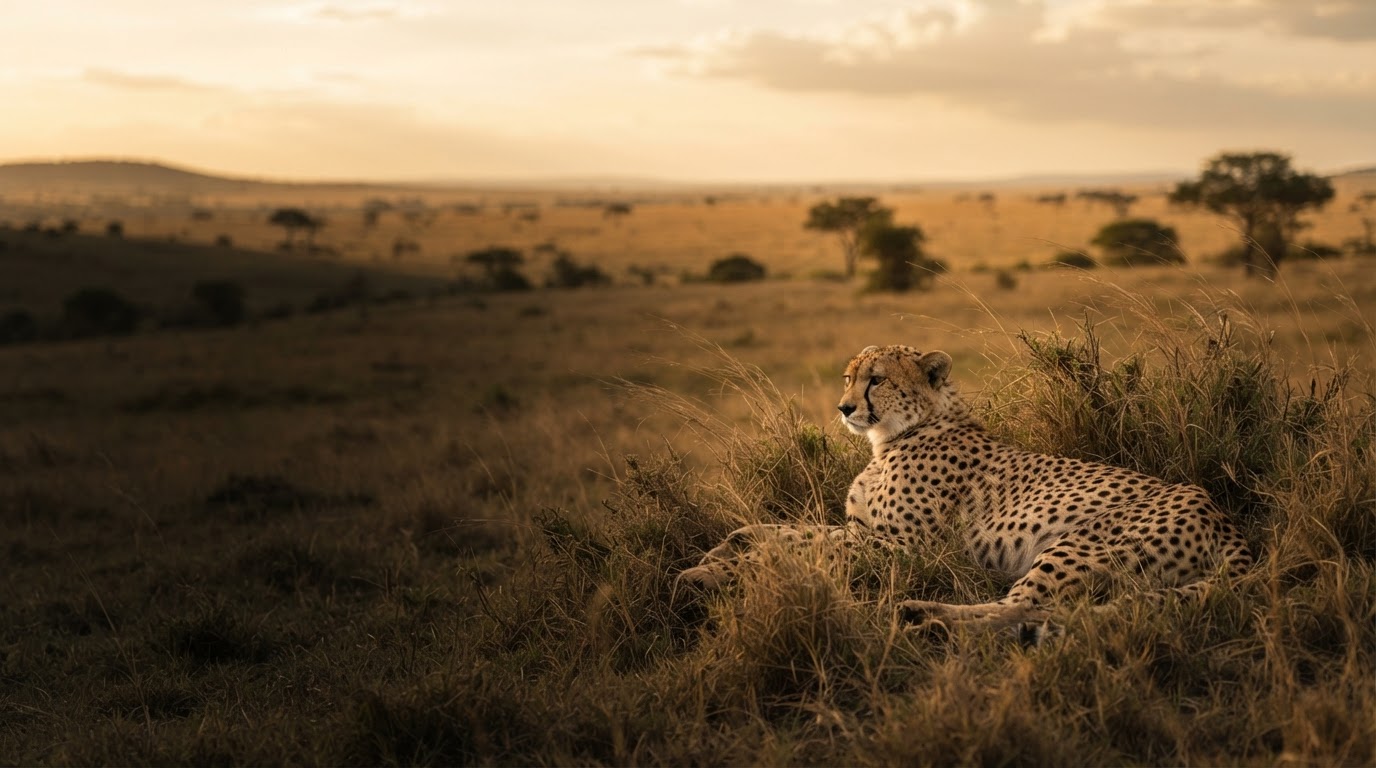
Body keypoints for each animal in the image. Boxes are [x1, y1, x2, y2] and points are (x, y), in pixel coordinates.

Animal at [679, 343, 1253, 636]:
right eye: (848, 377)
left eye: (876, 379)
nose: (844, 408)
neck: (894, 437)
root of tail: (1223, 516)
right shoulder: (864, 531)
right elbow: (782, 530)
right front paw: (721, 551)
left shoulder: (904, 548)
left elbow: (804, 548)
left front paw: (715, 573)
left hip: (1079, 545)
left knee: (1022, 611)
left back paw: (921, 616)